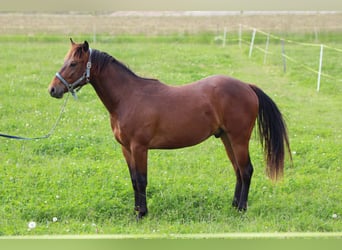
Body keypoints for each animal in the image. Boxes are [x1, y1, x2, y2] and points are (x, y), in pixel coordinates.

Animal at [48, 39, 290, 219]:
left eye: (73, 64)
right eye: (65, 61)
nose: (53, 89)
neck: (128, 97)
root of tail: (247, 86)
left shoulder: (139, 147)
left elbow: (141, 180)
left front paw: (142, 214)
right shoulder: (126, 149)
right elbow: (133, 179)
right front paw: (136, 210)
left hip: (239, 139)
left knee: (246, 170)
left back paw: (241, 209)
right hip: (226, 139)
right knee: (238, 170)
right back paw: (234, 205)